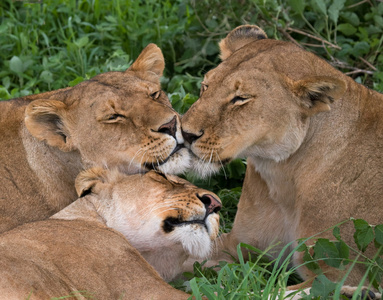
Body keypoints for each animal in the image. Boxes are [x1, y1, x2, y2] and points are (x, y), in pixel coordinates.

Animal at [182, 26, 383, 292]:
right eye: (205, 86)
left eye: (240, 98)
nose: (184, 133)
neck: (281, 176)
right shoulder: (238, 244)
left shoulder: (341, 273)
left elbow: (264, 293)